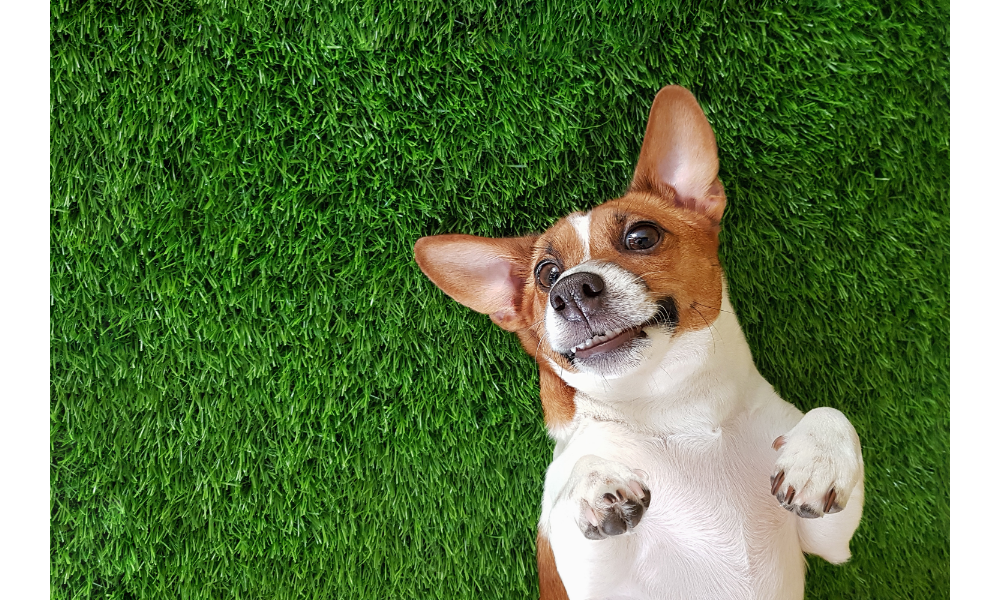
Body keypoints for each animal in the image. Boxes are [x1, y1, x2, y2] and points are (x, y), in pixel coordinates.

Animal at [410, 85, 864, 600]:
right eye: (546, 273)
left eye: (641, 236)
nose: (570, 289)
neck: (673, 407)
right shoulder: (587, 582)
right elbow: (581, 479)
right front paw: (594, 482)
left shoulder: (829, 543)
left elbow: (834, 414)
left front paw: (820, 457)